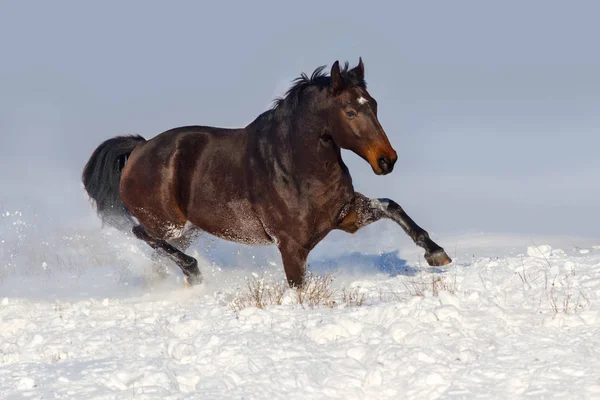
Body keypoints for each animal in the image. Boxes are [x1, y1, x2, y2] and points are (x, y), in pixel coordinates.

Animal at [82, 58, 452, 288]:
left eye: (373, 105)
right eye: (349, 111)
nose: (387, 160)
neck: (296, 169)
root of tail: (139, 149)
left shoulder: (346, 216)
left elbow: (391, 206)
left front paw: (436, 253)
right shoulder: (291, 246)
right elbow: (298, 287)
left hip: (186, 229)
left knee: (157, 254)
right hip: (165, 223)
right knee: (143, 235)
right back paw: (193, 273)